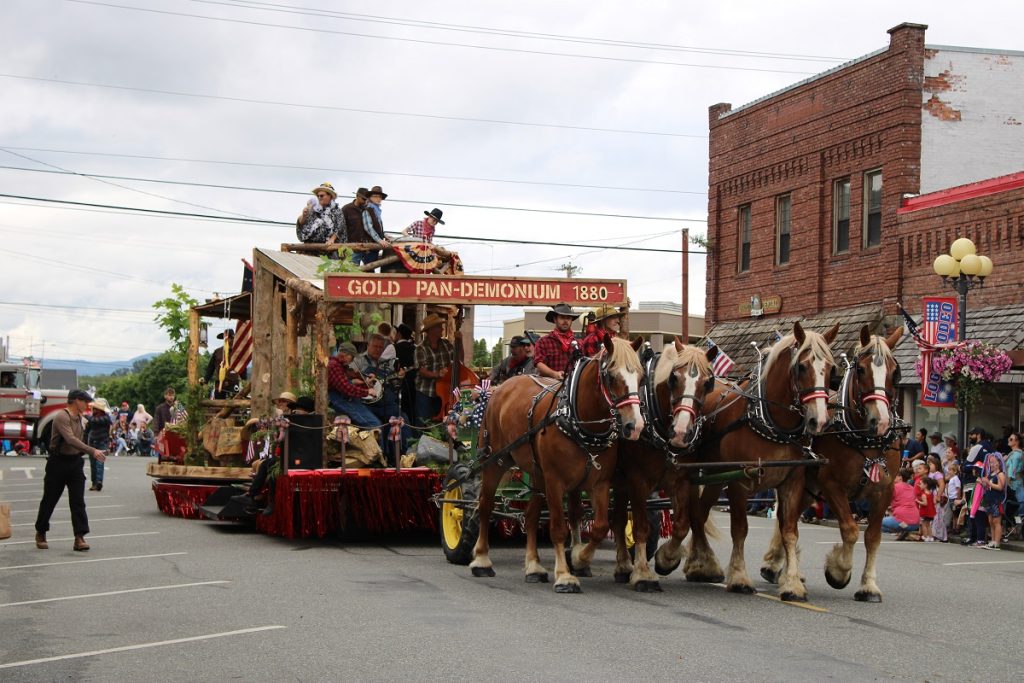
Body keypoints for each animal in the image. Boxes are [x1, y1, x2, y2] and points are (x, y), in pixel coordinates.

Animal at [468, 335, 643, 593]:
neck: (576, 419)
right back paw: (481, 560)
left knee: (530, 515)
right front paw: (564, 575)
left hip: (537, 475)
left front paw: (579, 559)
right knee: (485, 506)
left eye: (640, 377)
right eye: (611, 376)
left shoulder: (599, 483)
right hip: (494, 461)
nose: (635, 426)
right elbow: (559, 528)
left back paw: (534, 567)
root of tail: (503, 386)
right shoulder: (555, 481)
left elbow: (601, 526)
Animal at [606, 342, 720, 593]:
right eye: (673, 378)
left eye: (708, 382)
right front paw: (642, 574)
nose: (680, 432)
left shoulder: (682, 480)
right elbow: (640, 526)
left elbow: (682, 525)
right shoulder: (638, 480)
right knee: (618, 521)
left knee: (618, 520)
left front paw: (666, 559)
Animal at [651, 323, 835, 602]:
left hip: (714, 478)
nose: (820, 420)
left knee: (698, 513)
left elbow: (789, 531)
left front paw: (792, 584)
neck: (772, 423)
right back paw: (695, 562)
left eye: (832, 369)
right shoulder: (740, 481)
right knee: (693, 514)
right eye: (801, 367)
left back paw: (703, 564)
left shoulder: (792, 481)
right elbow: (740, 529)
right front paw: (738, 577)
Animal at [761, 323, 905, 602]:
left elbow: (872, 537)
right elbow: (850, 529)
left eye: (895, 373)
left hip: (807, 490)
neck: (864, 439)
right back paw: (779, 569)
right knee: (785, 521)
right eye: (861, 370)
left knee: (788, 521)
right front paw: (838, 571)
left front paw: (868, 586)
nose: (881, 421)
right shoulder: (831, 485)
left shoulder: (885, 489)